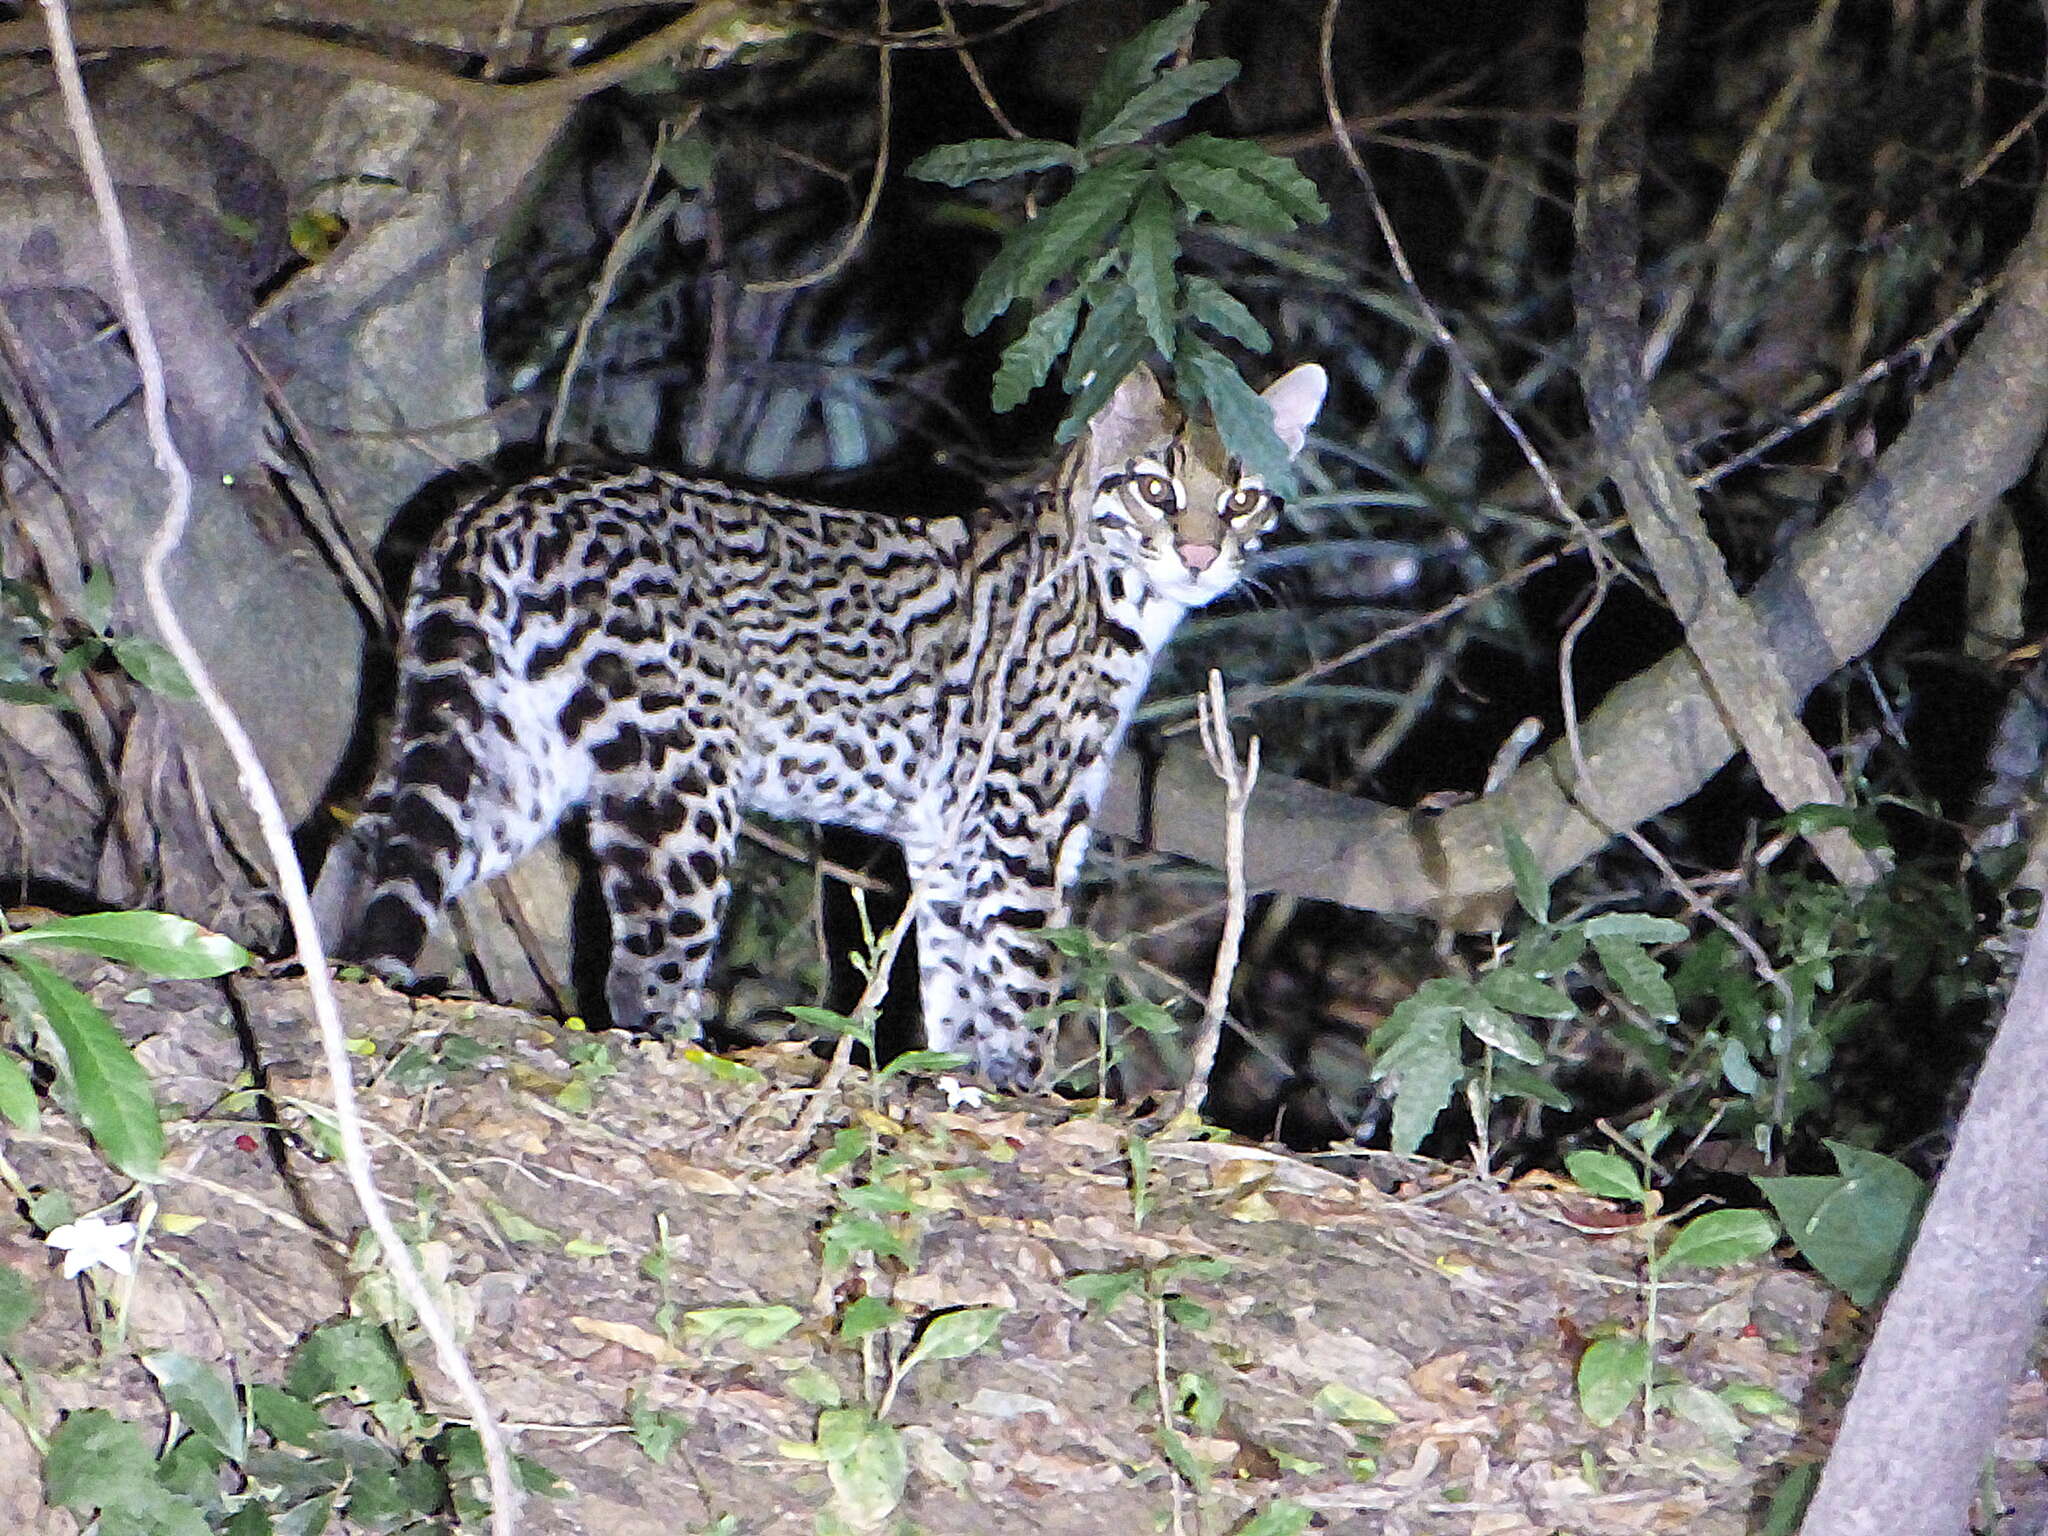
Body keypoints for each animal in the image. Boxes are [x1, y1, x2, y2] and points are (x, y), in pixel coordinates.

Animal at [311, 364, 1318, 1089]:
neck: (1122, 594)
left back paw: (337, 969)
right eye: (1155, 488)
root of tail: (503, 504)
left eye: (1242, 498)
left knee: (377, 840)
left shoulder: (950, 836)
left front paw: (960, 1080)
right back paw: (690, 1047)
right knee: (645, 965)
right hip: (681, 774)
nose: (1201, 553)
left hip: (511, 747)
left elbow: (957, 972)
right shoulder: (1022, 821)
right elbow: (1025, 970)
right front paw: (1029, 1091)